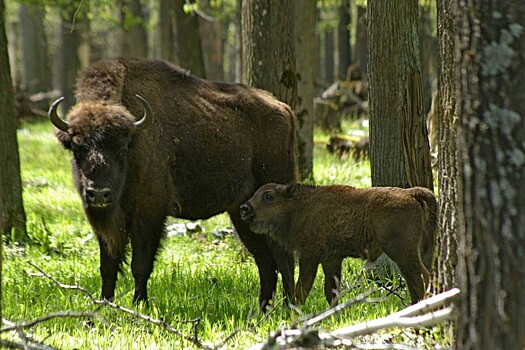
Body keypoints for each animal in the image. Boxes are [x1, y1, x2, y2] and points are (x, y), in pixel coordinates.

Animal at [49, 58, 296, 312]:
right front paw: (104, 305)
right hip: (242, 213)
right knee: (265, 260)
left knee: (283, 256)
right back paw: (262, 309)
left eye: (122, 148)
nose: (98, 194)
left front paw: (140, 305)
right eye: (77, 147)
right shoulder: (108, 224)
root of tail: (284, 109)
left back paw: (290, 306)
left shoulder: (149, 213)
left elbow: (141, 264)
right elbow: (108, 265)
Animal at [239, 183, 436, 306]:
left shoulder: (309, 257)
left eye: (268, 196)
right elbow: (331, 291)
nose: (244, 208)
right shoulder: (331, 260)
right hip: (406, 253)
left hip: (402, 251)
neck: (300, 207)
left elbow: (302, 288)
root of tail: (410, 193)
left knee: (420, 277)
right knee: (416, 278)